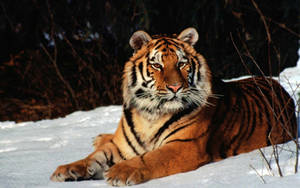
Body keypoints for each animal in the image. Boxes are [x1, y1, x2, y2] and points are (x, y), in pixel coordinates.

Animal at [50, 27, 296, 187]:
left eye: (182, 63)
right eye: (157, 65)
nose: (175, 87)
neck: (150, 114)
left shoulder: (184, 146)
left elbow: (150, 158)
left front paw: (120, 171)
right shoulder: (120, 146)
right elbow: (93, 157)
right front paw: (66, 170)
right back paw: (98, 137)